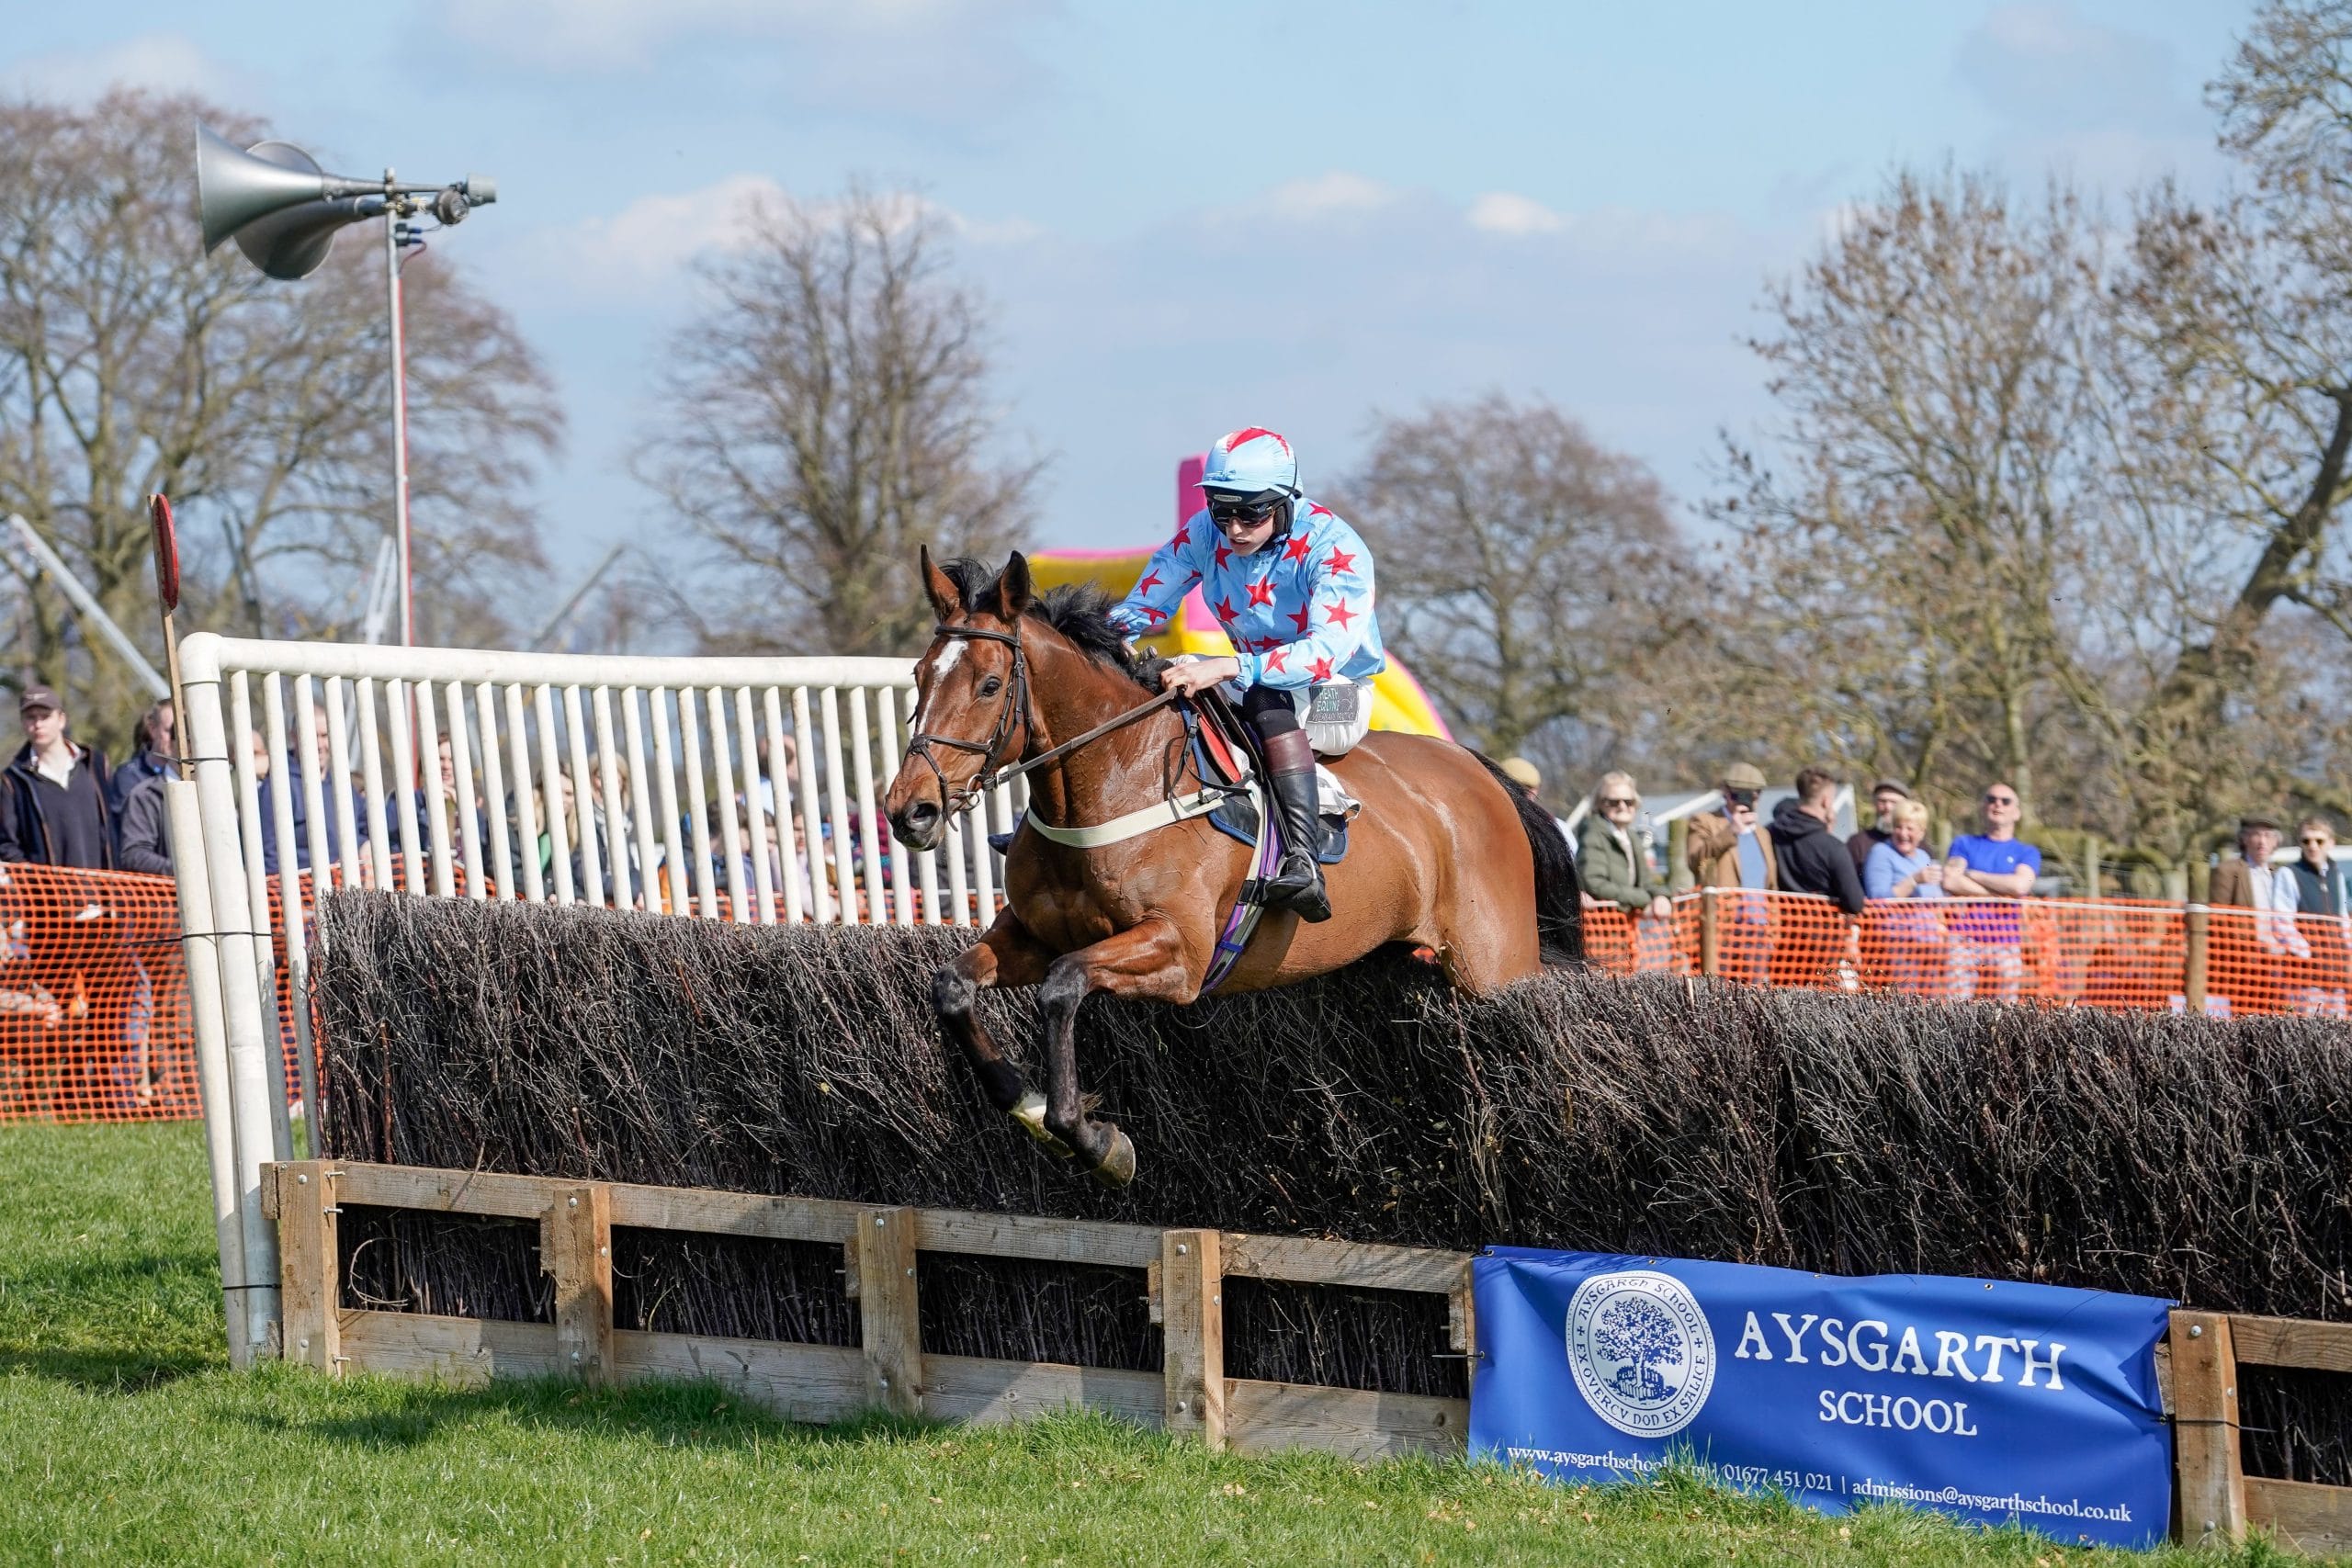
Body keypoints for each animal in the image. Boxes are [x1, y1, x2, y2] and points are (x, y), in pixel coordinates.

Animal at [884, 548, 1584, 1186]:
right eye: (919, 676)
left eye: (989, 685)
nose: (909, 810)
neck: (1116, 778)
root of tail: (1482, 773)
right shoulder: (1031, 933)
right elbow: (952, 987)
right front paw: (1026, 1103)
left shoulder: (1181, 953)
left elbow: (1063, 985)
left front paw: (1092, 1139)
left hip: (1493, 964)